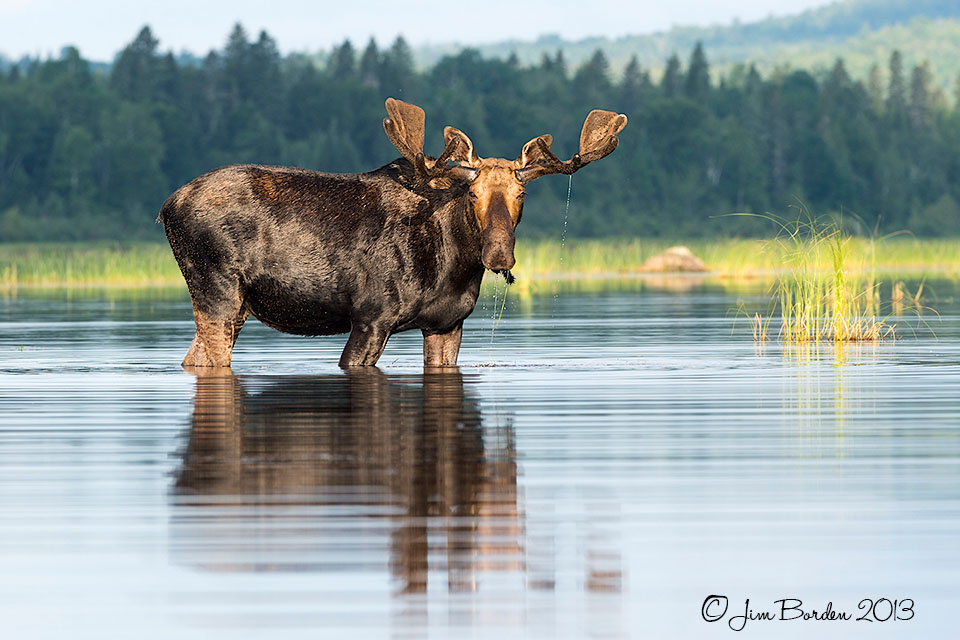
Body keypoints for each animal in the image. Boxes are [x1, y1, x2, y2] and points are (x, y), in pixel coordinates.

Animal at [158, 98, 626, 368]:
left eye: (521, 193)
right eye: (472, 193)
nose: (498, 255)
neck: (454, 264)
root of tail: (166, 208)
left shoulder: (447, 324)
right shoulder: (371, 317)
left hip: (235, 306)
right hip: (217, 292)